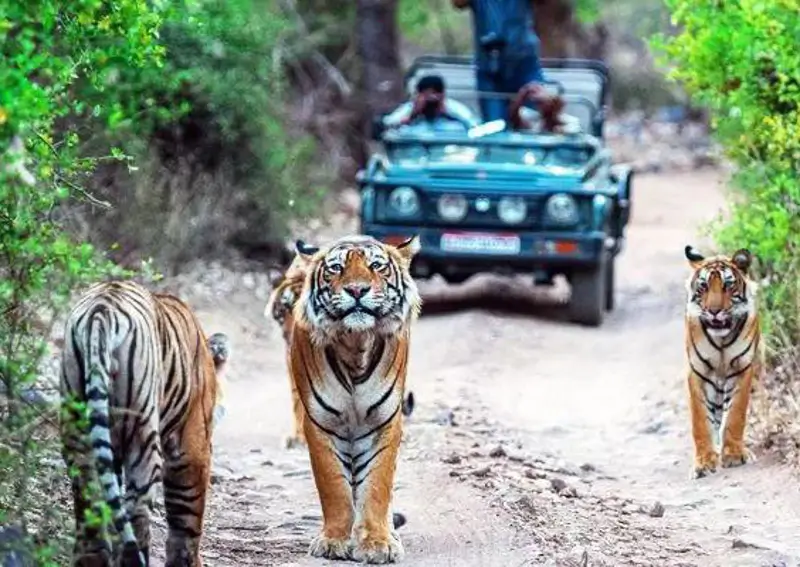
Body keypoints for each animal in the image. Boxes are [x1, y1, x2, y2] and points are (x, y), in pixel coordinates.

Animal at [60, 281, 229, 567]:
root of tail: (101, 310)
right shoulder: (192, 446)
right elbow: (187, 518)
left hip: (78, 427)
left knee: (90, 502)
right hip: (142, 435)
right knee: (136, 510)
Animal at [288, 234, 421, 563]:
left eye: (376, 266)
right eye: (336, 268)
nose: (357, 290)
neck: (355, 345)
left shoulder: (384, 422)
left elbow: (376, 486)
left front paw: (377, 543)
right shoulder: (320, 424)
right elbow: (334, 486)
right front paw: (334, 541)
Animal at [684, 245, 762, 479]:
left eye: (728, 285)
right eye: (703, 286)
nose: (714, 311)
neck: (721, 340)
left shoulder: (742, 370)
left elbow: (735, 415)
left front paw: (734, 455)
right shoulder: (697, 373)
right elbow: (700, 421)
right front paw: (703, 463)